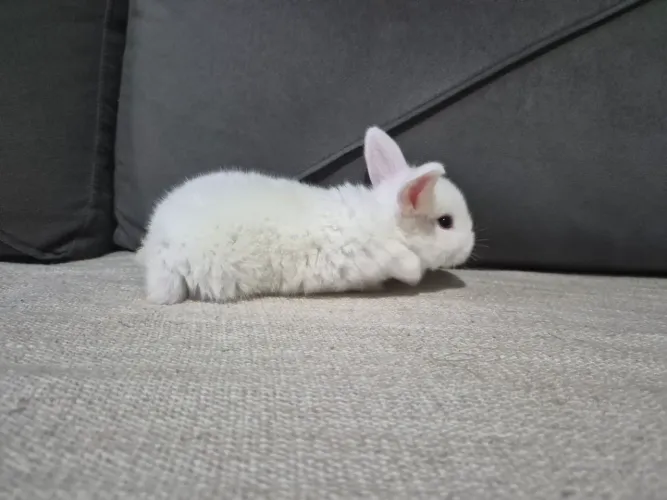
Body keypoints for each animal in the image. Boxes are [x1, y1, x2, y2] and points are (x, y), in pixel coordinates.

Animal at [137, 126, 475, 304]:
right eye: (446, 222)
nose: (471, 245)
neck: (387, 223)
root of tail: (157, 241)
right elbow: (408, 265)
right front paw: (412, 274)